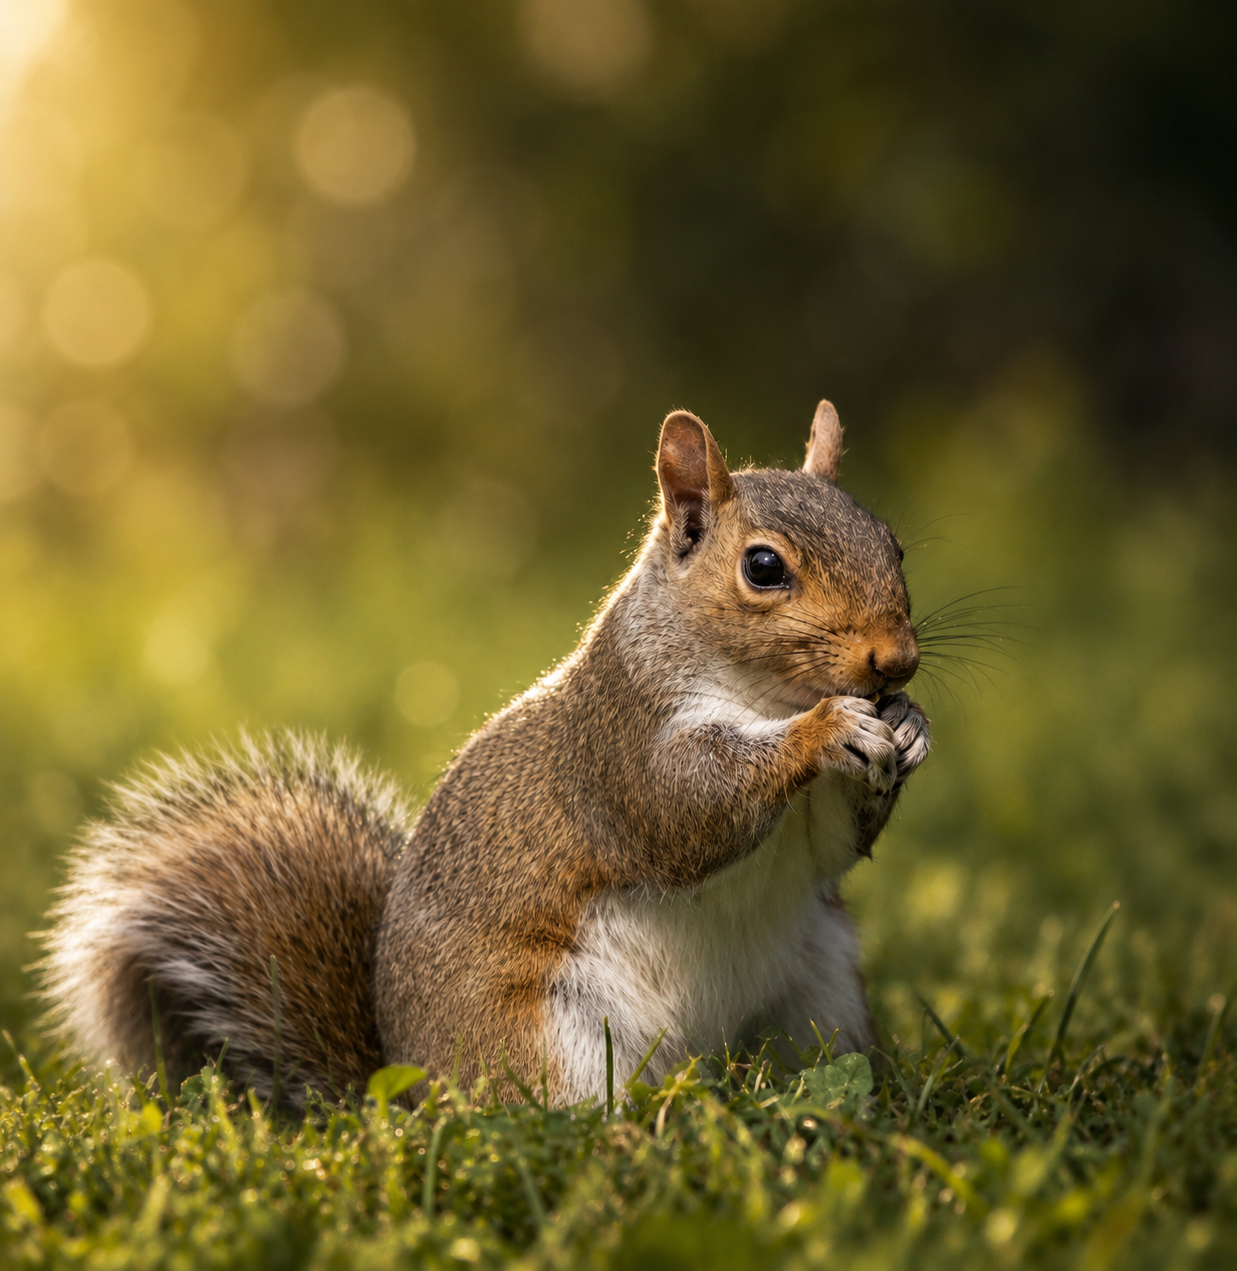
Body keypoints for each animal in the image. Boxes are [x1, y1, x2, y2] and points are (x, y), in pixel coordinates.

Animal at [41, 401, 930, 1106]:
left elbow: (833, 846)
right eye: (762, 566)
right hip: (550, 1038)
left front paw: (910, 726)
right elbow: (684, 812)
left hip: (820, 991)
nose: (896, 661)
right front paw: (824, 730)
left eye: (893, 543)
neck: (766, 695)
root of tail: (408, 1092)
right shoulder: (619, 744)